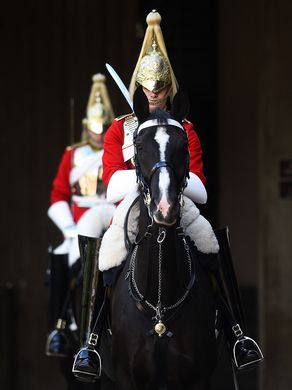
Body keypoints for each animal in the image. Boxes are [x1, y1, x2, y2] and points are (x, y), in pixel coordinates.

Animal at [101, 87, 218, 390]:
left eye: (184, 146)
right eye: (139, 147)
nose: (164, 209)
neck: (159, 307)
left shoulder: (199, 378)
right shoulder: (126, 379)